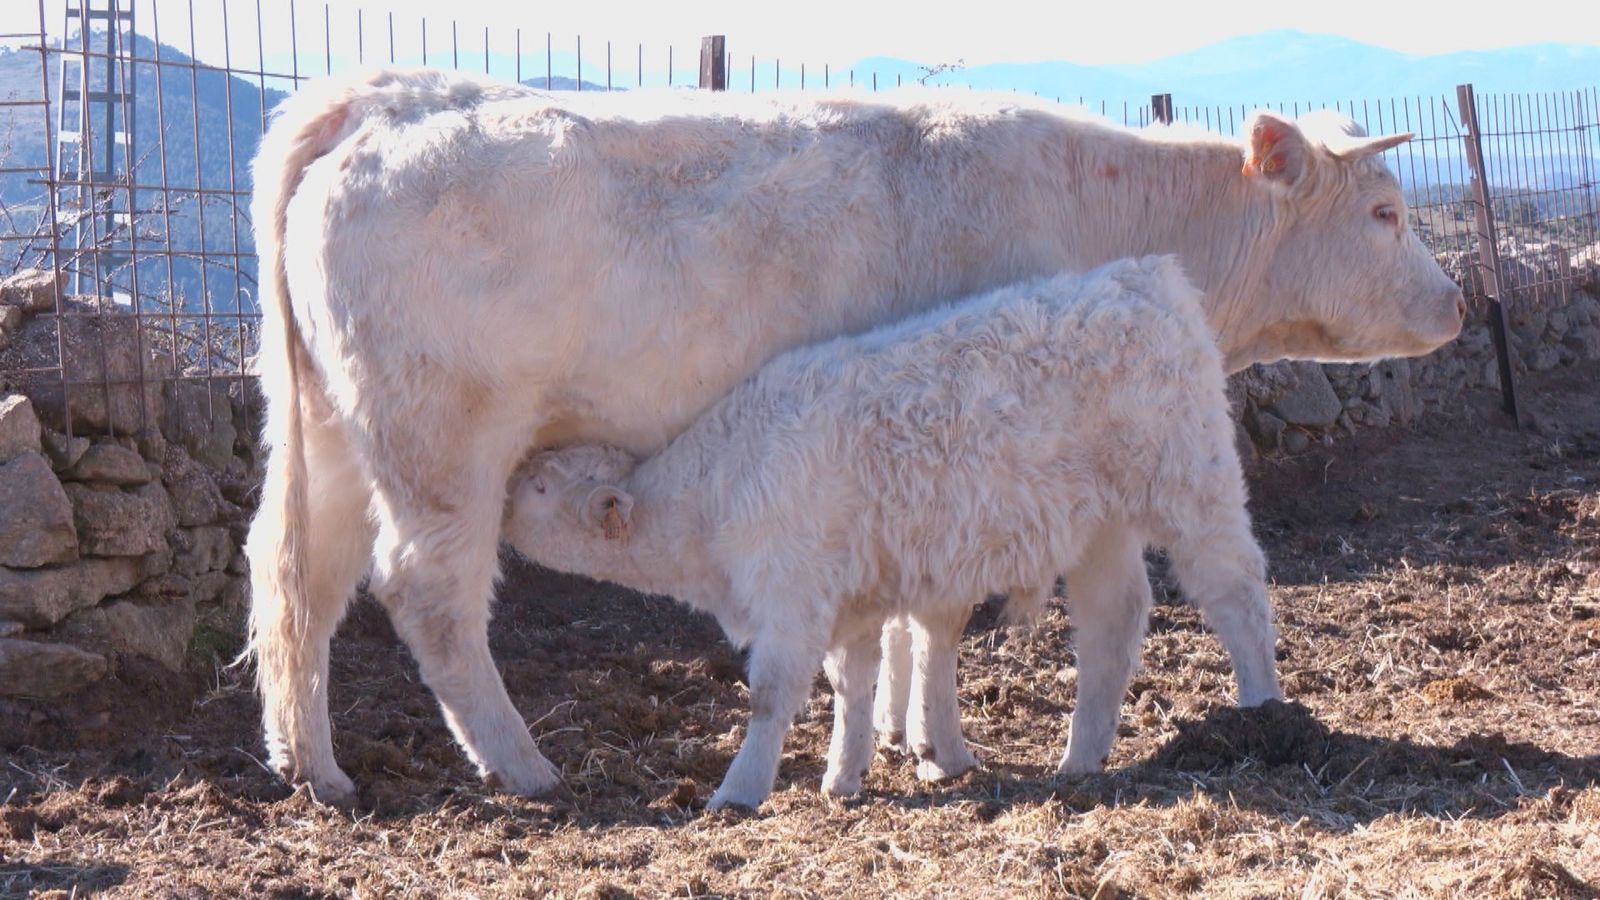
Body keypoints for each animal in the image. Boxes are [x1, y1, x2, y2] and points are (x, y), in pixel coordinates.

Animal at [245, 66, 1463, 803]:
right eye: (1386, 212)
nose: (1457, 303)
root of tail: (385, 96)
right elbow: (938, 617)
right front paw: (931, 746)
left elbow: (912, 621)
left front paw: (908, 743)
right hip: (444, 450)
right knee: (428, 596)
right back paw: (524, 764)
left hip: (340, 442)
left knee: (300, 578)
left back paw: (315, 769)